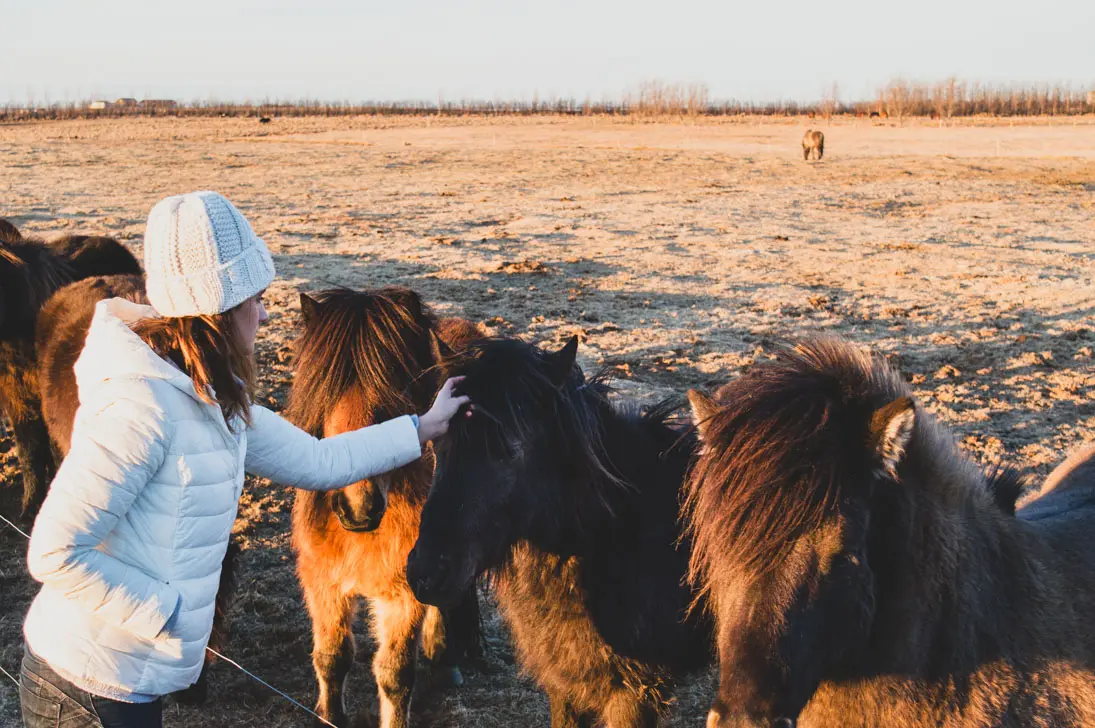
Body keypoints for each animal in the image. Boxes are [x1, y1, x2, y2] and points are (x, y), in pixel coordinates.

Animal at [289, 284, 481, 726]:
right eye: (325, 390)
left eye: (394, 392)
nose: (358, 508)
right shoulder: (322, 581)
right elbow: (332, 658)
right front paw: (331, 715)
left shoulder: (401, 594)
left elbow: (394, 675)